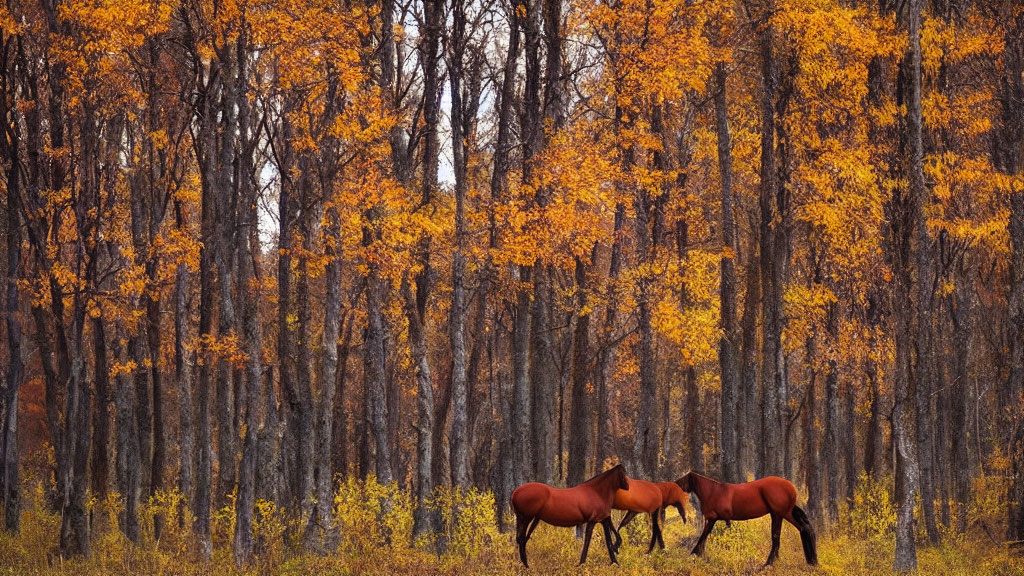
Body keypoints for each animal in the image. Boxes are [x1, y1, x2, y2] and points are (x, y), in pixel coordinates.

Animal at [679, 471, 815, 565]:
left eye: (683, 479)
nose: (676, 484)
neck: (714, 491)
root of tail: (791, 487)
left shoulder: (712, 519)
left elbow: (703, 536)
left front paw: (694, 554)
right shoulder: (716, 520)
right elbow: (706, 536)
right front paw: (699, 555)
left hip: (779, 514)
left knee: (778, 535)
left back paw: (769, 563)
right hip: (784, 514)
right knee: (804, 529)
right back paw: (812, 560)